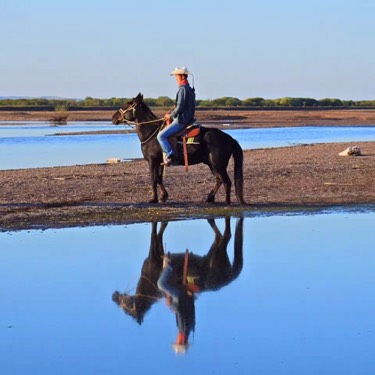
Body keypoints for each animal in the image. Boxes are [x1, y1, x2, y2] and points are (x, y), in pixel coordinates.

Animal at [112, 94, 247, 206]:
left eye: (128, 104)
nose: (113, 117)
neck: (151, 133)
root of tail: (229, 138)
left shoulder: (152, 161)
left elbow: (153, 179)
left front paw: (153, 199)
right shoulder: (160, 162)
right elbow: (159, 178)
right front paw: (163, 197)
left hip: (218, 164)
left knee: (226, 181)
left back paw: (227, 202)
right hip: (211, 164)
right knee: (219, 180)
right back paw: (209, 198)